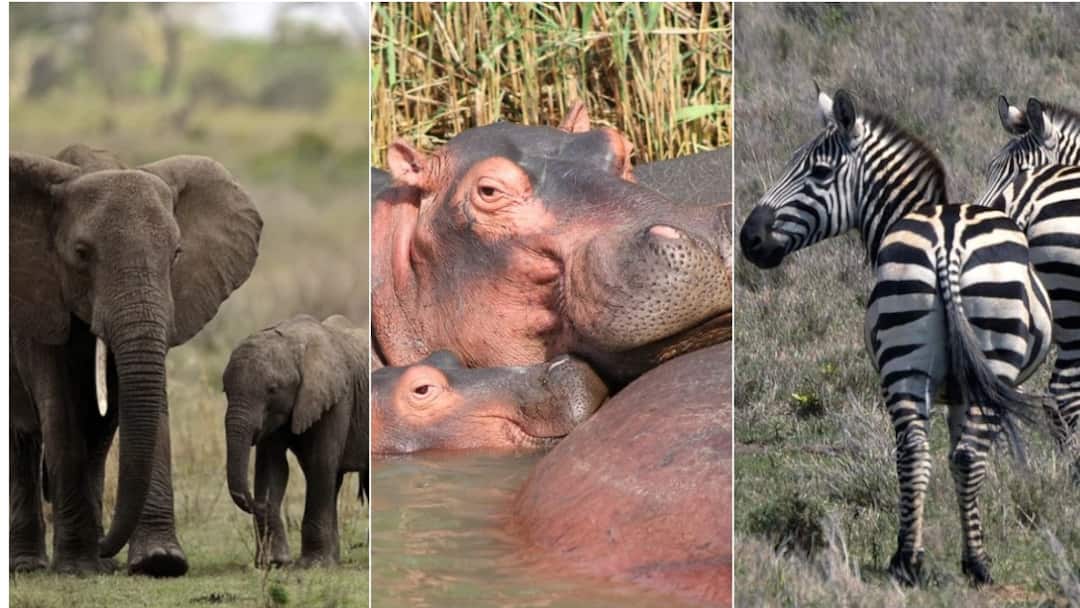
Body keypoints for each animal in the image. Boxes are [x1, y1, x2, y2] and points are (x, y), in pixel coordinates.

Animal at [10, 144, 262, 576]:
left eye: (176, 254)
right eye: (81, 254)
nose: (105, 548)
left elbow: (149, 403)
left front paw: (160, 561)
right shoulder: (41, 300)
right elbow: (59, 412)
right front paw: (76, 567)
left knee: (96, 437)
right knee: (22, 437)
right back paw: (29, 564)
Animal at [223, 314, 369, 568]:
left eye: (272, 389)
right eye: (225, 390)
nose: (256, 503)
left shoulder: (339, 398)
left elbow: (322, 463)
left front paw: (313, 564)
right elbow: (272, 467)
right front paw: (274, 562)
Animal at [739, 88, 1053, 586]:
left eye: (818, 172)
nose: (748, 239)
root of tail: (948, 241)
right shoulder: (964, 387)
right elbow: (958, 455)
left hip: (911, 357)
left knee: (919, 452)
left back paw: (912, 559)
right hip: (965, 355)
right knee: (956, 454)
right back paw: (963, 563)